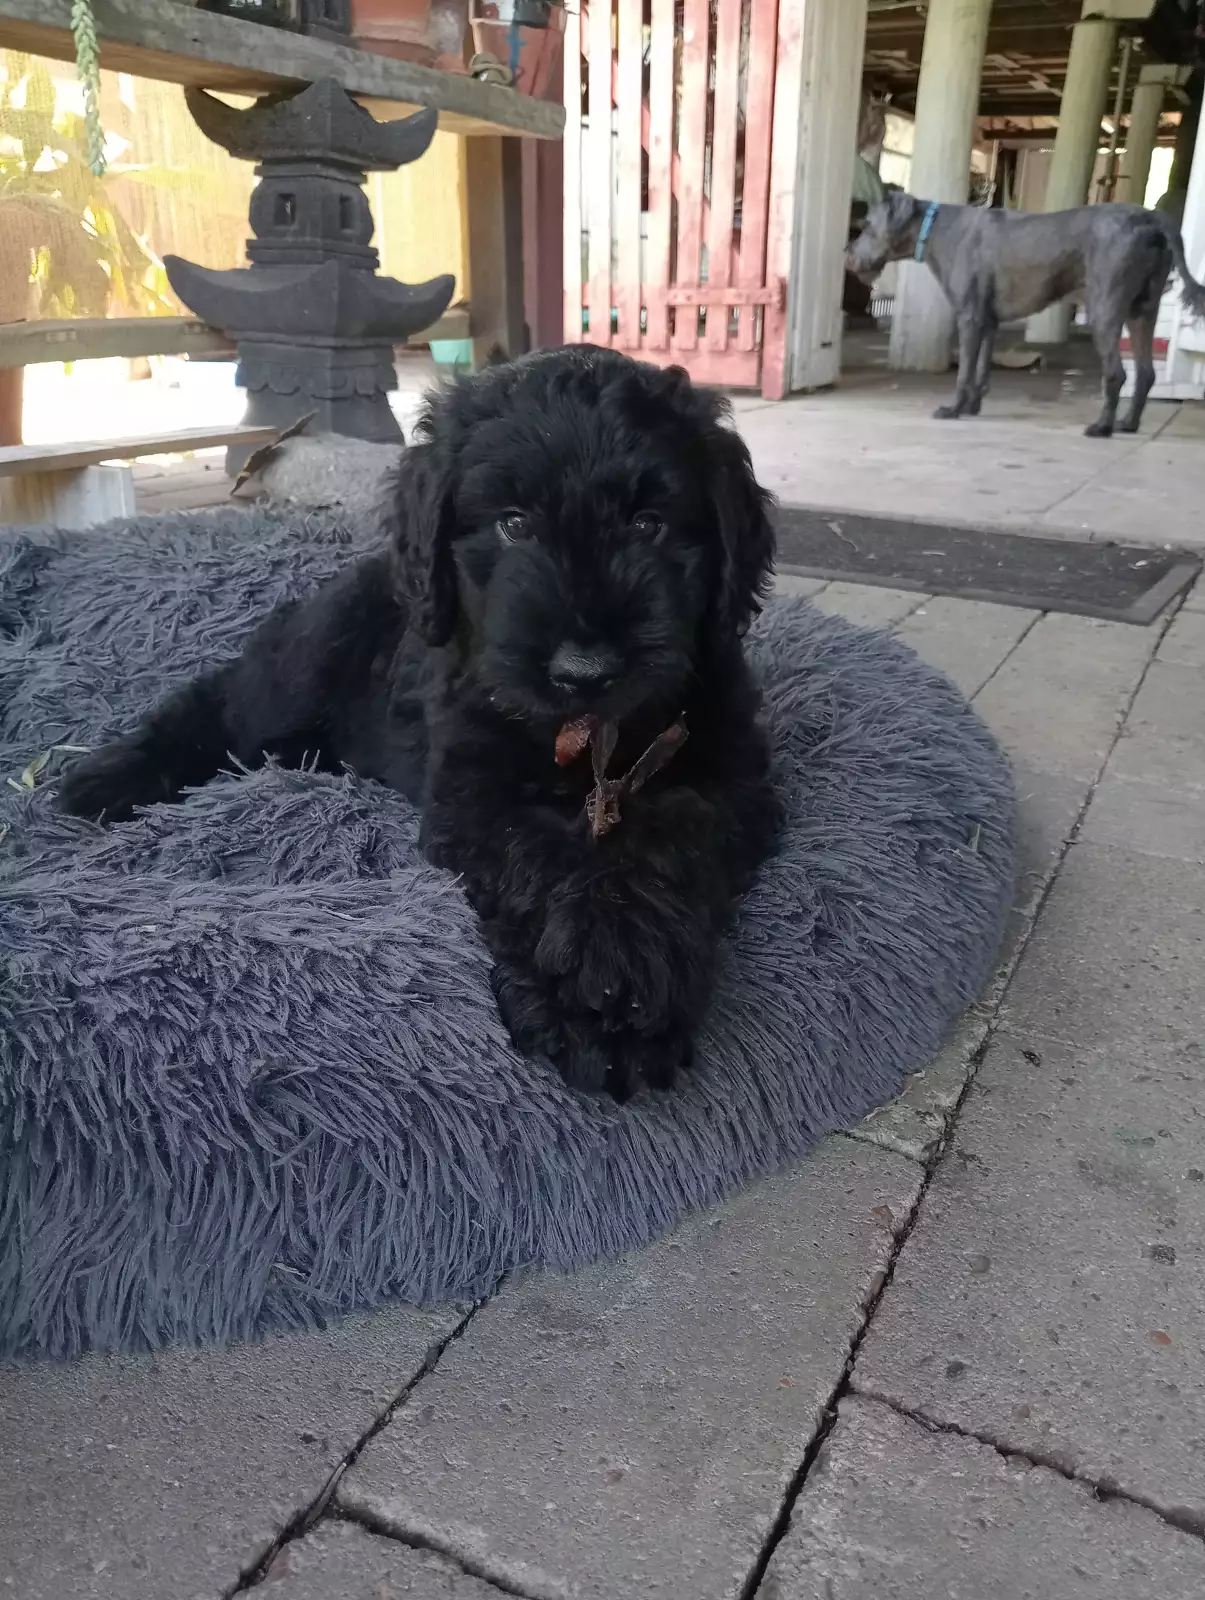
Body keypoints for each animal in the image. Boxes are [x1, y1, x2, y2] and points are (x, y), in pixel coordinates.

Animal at [58, 346, 780, 1101]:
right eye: (513, 523)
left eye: (648, 524)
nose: (585, 671)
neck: (592, 741)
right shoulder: (476, 790)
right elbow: (539, 855)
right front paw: (587, 1002)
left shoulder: (726, 779)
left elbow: (667, 846)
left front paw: (623, 972)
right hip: (302, 668)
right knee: (219, 704)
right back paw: (108, 778)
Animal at [847, 192, 1205, 437]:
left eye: (867, 226)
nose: (847, 255)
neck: (935, 228)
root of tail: (1151, 218)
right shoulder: (988, 321)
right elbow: (981, 370)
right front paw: (973, 406)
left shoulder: (969, 318)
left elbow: (964, 372)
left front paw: (953, 408)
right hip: (1143, 312)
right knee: (1146, 372)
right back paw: (1127, 423)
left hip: (1105, 309)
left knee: (1117, 373)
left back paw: (1102, 426)